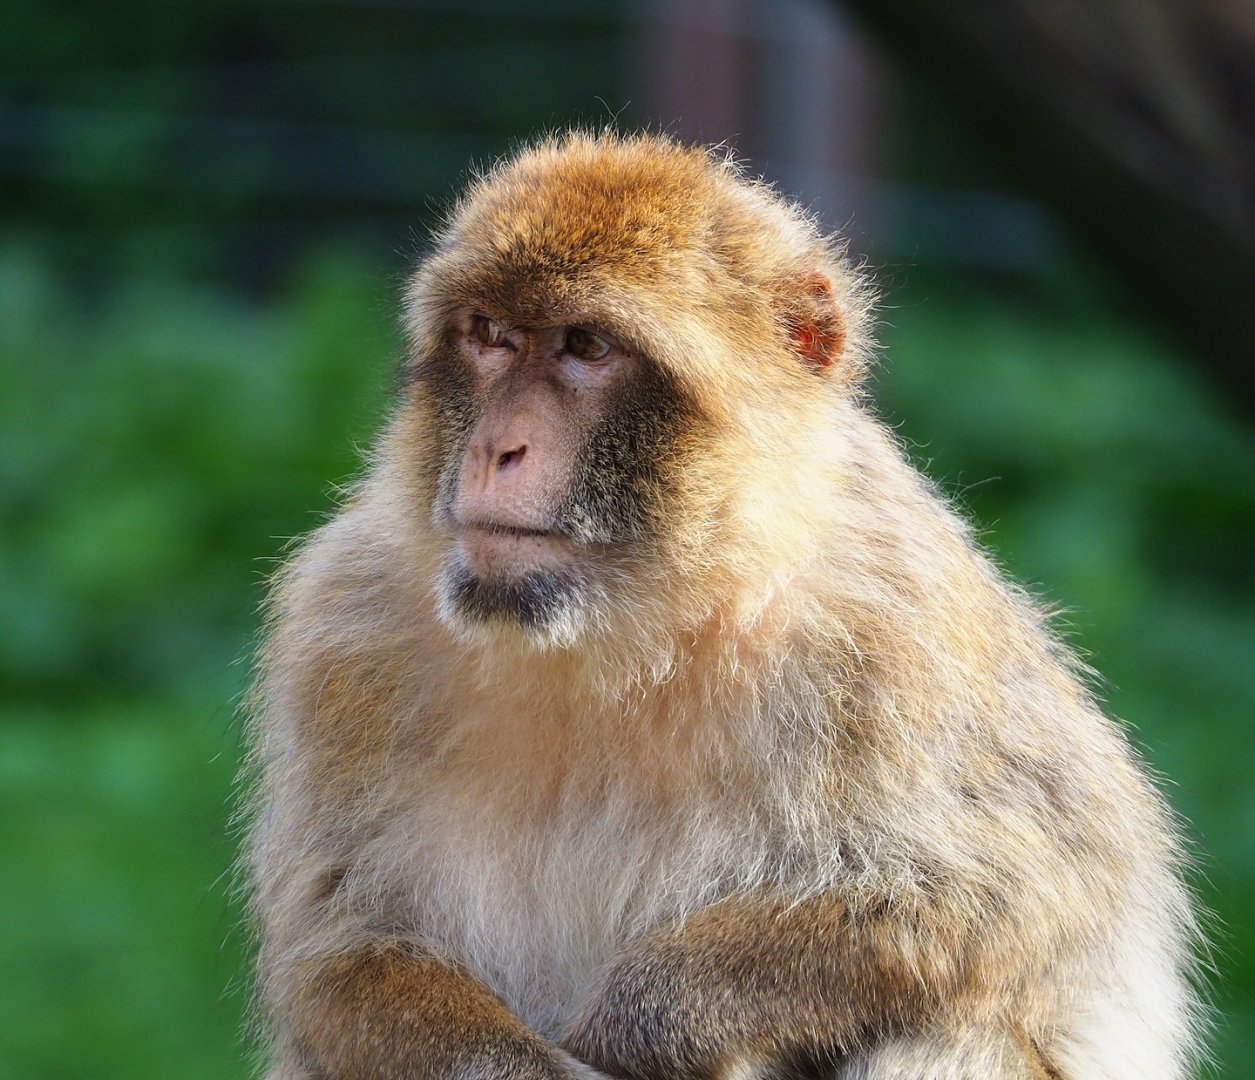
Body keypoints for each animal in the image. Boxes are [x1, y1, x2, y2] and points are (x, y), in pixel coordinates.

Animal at [245, 131, 1205, 1080]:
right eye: (488, 335)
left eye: (586, 346)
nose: (495, 448)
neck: (624, 637)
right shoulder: (344, 629)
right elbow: (334, 955)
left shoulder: (899, 631)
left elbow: (1019, 893)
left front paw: (645, 1021)